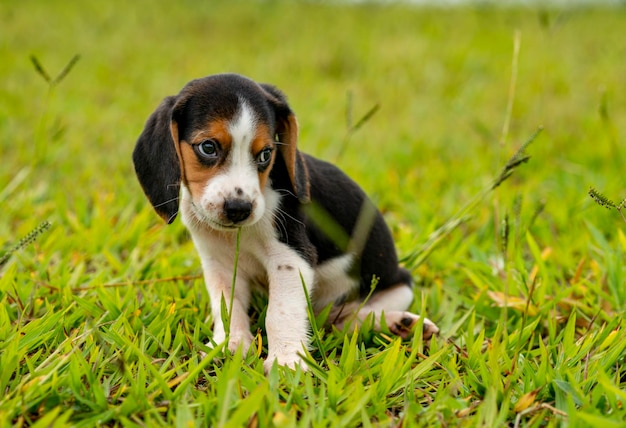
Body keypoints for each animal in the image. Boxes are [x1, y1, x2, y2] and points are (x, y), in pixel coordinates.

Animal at [133, 73, 434, 372]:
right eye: (208, 147)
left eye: (266, 154)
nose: (239, 209)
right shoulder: (218, 264)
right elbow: (227, 307)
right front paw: (231, 344)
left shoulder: (291, 258)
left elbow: (280, 313)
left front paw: (286, 361)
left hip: (396, 286)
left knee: (350, 317)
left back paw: (402, 324)